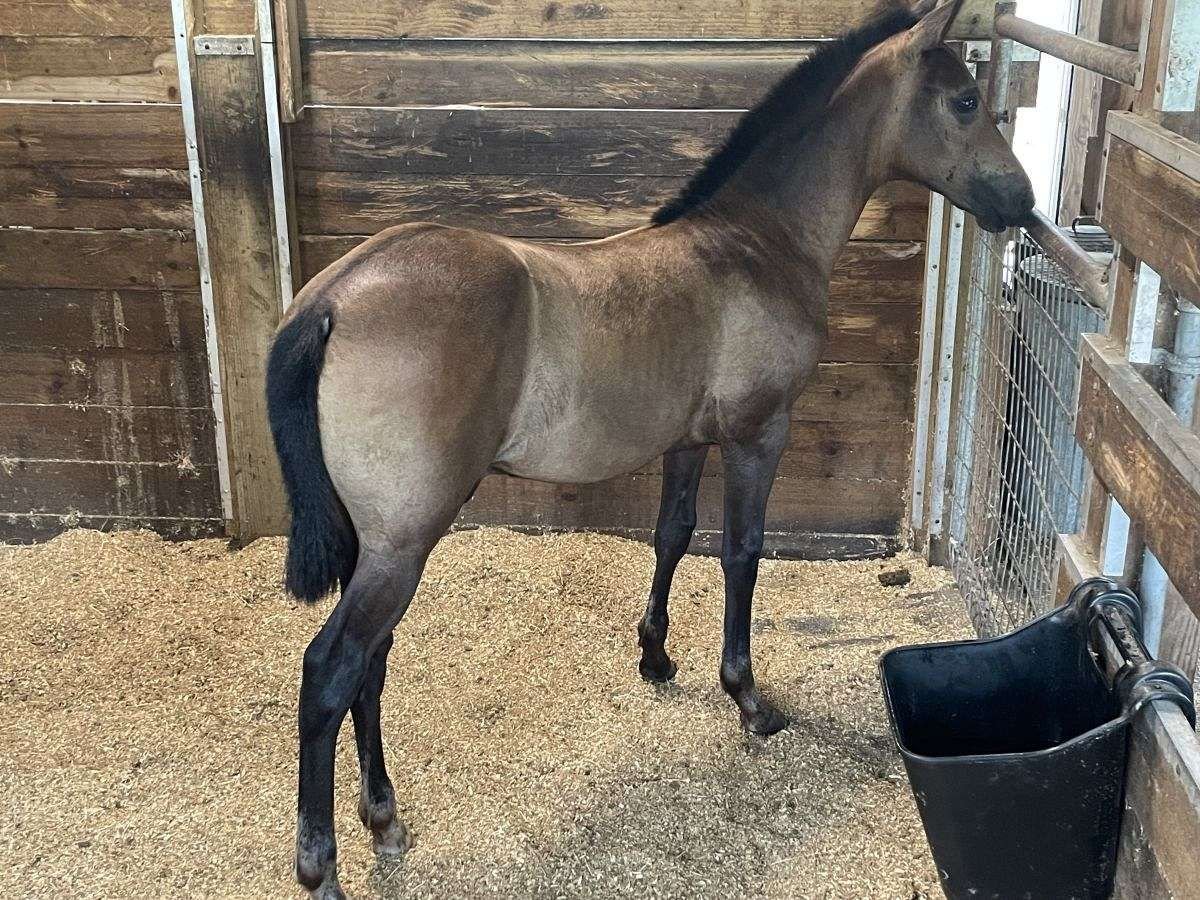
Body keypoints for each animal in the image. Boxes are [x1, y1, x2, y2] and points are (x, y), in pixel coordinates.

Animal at [267, 1, 1036, 897]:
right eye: (964, 101)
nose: (1019, 200)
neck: (755, 243)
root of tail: (331, 299)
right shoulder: (758, 433)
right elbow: (740, 551)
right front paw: (748, 699)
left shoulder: (688, 441)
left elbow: (671, 536)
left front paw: (657, 658)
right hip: (402, 543)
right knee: (332, 669)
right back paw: (322, 864)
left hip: (385, 544)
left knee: (373, 663)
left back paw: (385, 820)